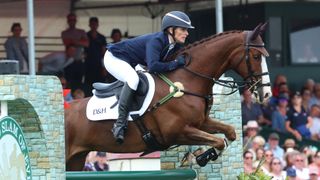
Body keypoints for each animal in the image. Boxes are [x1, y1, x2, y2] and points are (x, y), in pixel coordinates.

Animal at [66, 23, 272, 170]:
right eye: (256, 56)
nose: (267, 93)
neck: (187, 80)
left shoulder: (200, 123)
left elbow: (229, 133)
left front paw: (203, 155)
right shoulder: (177, 132)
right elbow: (219, 141)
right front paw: (201, 157)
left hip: (76, 158)